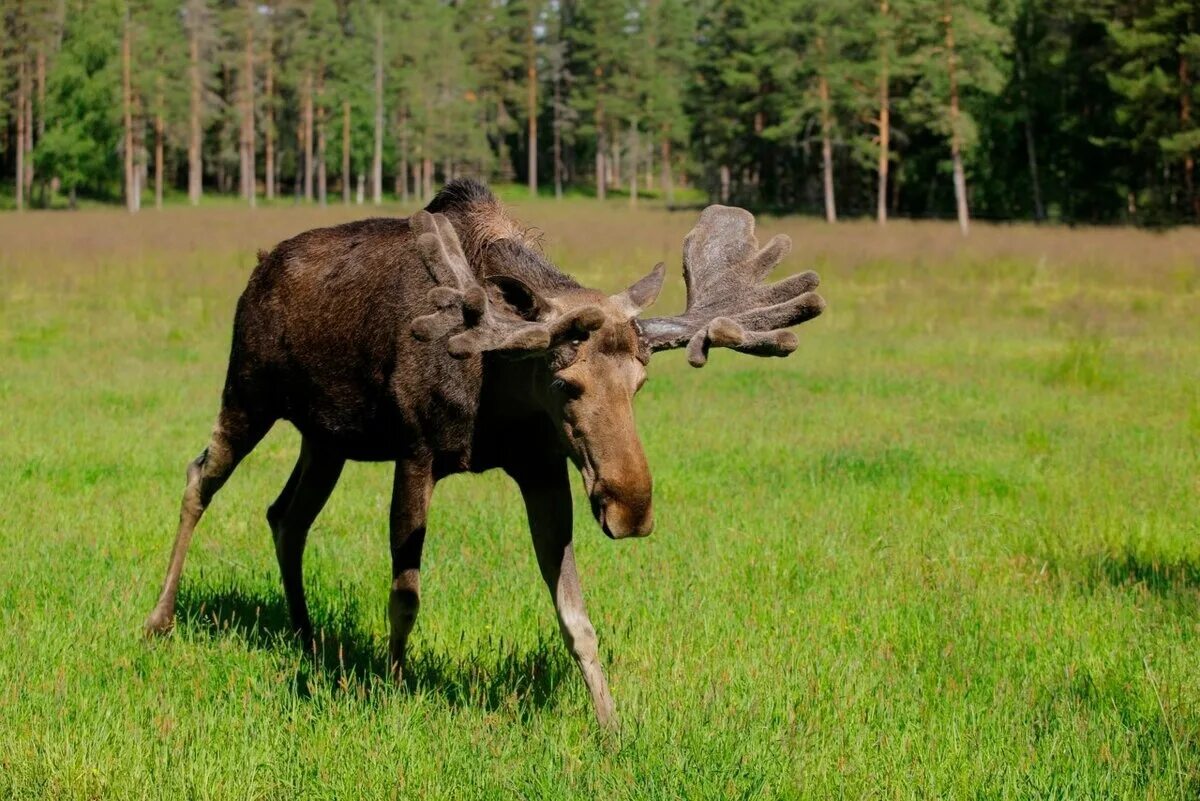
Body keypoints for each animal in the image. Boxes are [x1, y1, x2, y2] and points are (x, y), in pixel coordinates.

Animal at [142, 179, 825, 724]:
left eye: (641, 382)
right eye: (565, 383)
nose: (630, 509)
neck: (497, 387)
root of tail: (258, 269)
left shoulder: (543, 469)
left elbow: (576, 616)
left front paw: (610, 723)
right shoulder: (416, 452)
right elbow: (406, 594)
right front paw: (392, 689)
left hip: (326, 437)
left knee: (286, 516)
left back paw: (308, 638)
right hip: (248, 390)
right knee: (201, 476)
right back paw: (159, 620)